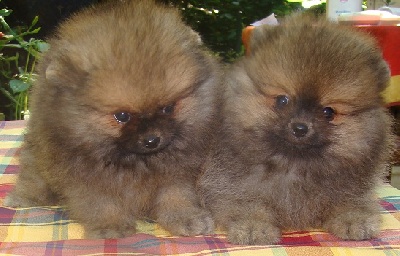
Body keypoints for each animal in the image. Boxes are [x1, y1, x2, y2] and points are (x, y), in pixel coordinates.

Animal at [4, 0, 220, 239]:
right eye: (122, 116)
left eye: (168, 108)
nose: (152, 140)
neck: (133, 160)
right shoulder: (85, 175)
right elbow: (102, 201)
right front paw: (110, 225)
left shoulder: (179, 170)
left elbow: (176, 194)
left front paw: (186, 218)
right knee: (32, 174)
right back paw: (23, 197)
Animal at [198, 15, 392, 245]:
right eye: (282, 100)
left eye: (328, 112)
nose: (300, 127)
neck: (293, 164)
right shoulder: (232, 185)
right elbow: (248, 205)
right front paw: (253, 227)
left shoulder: (350, 186)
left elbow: (350, 202)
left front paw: (354, 219)